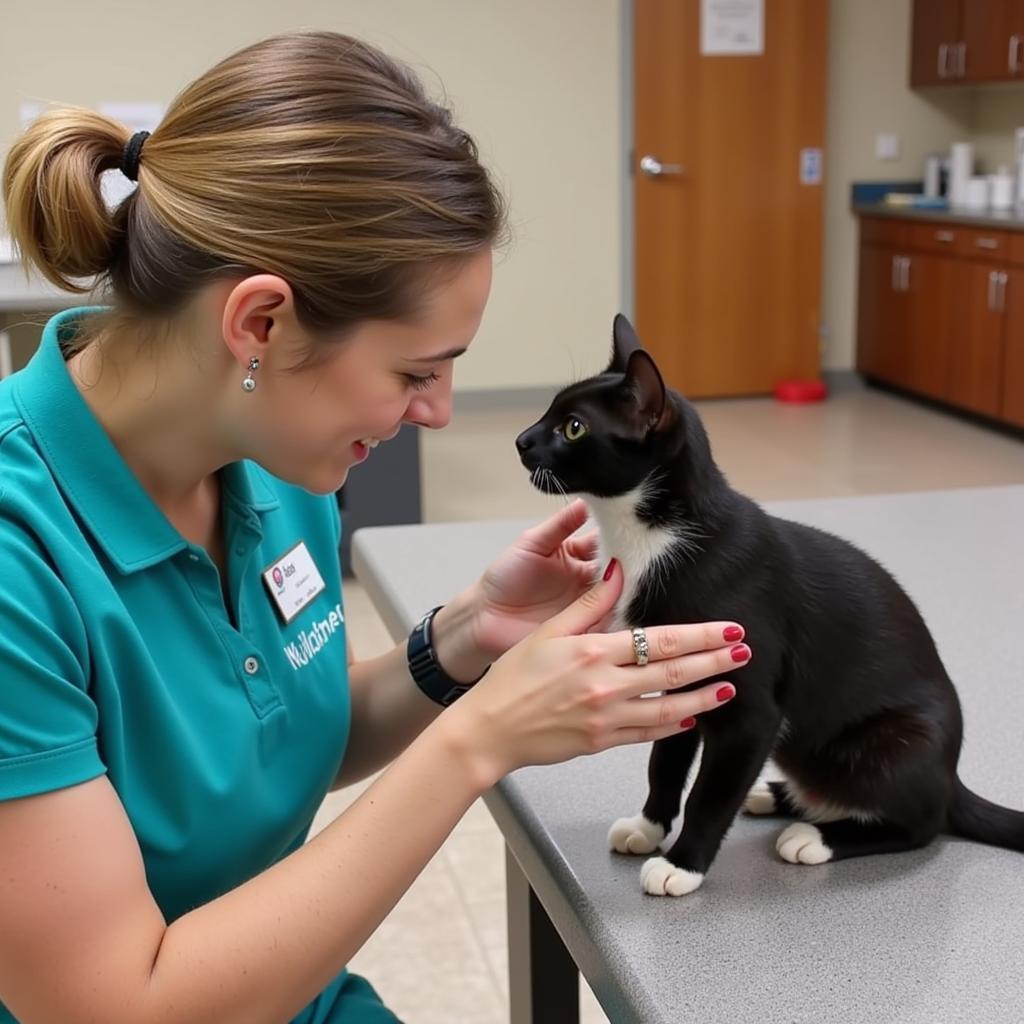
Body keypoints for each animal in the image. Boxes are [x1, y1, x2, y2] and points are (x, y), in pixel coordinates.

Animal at [516, 315, 1019, 901]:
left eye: (572, 428)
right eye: (550, 413)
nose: (521, 440)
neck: (651, 534)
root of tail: (950, 774)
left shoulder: (750, 712)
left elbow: (711, 793)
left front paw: (682, 864)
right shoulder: (683, 683)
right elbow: (665, 761)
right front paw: (648, 827)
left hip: (898, 740)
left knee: (921, 823)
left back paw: (816, 836)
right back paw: (779, 796)